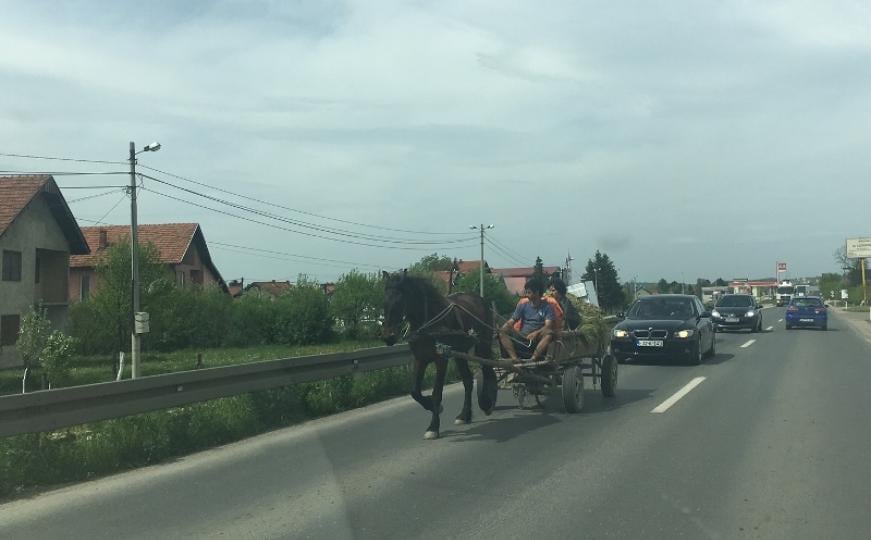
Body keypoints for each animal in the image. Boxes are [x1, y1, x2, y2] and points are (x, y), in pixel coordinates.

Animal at [382, 268, 498, 438]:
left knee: (488, 371)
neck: (428, 322)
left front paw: (433, 427)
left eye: (399, 301)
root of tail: (480, 300)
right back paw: (465, 414)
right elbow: (415, 392)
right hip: (460, 353)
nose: (388, 337)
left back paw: (487, 403)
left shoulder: (441, 359)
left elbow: (437, 393)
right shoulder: (420, 359)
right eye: (384, 302)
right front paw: (430, 405)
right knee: (468, 381)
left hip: (483, 346)